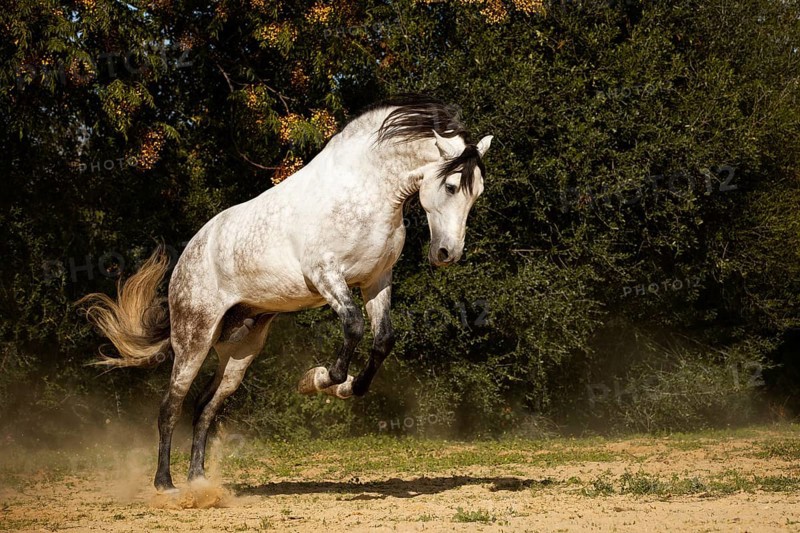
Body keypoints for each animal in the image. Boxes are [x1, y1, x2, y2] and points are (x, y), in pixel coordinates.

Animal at [79, 94, 493, 492]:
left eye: (477, 194)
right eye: (451, 187)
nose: (447, 254)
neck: (367, 192)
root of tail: (187, 258)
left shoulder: (376, 281)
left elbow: (382, 340)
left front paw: (346, 389)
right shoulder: (326, 275)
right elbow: (354, 326)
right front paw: (319, 380)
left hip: (241, 349)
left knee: (205, 407)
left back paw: (198, 481)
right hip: (194, 339)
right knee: (170, 406)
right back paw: (165, 484)